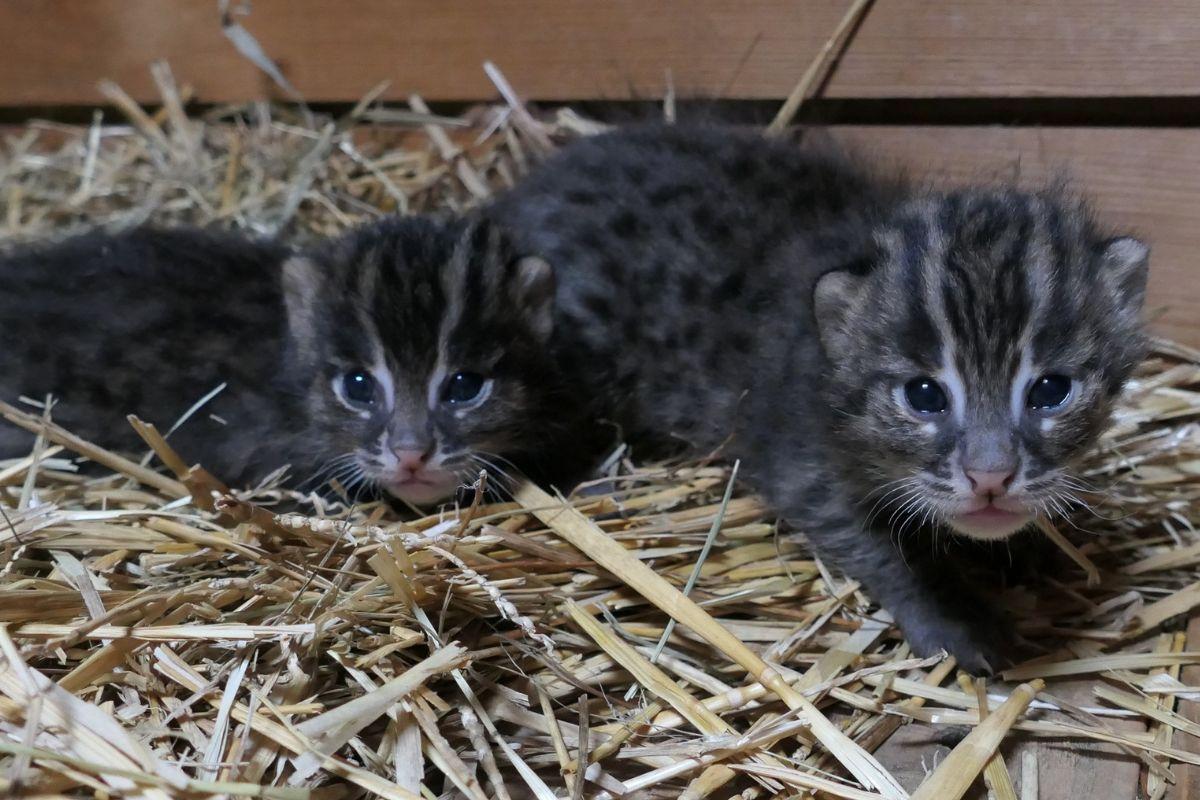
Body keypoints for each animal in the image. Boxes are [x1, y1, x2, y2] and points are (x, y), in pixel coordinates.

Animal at [482, 125, 1147, 671]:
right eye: (924, 395)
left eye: (1050, 391)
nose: (990, 477)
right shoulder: (806, 471)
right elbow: (886, 554)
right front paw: (954, 616)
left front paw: (1037, 541)